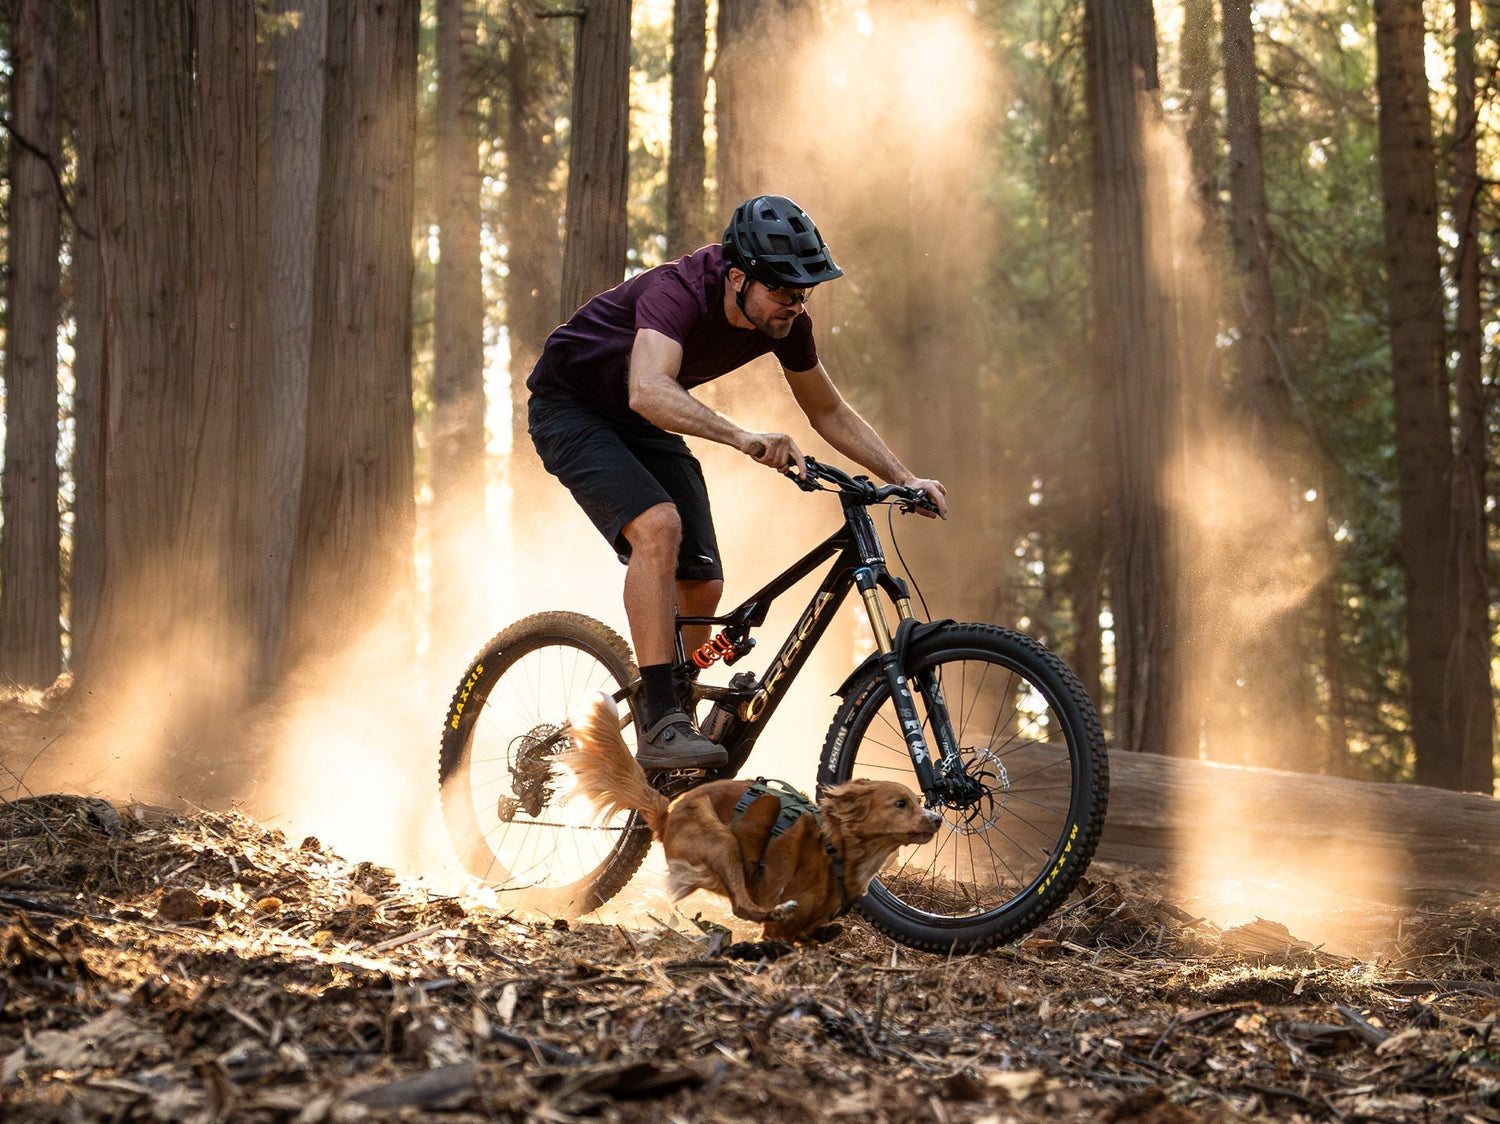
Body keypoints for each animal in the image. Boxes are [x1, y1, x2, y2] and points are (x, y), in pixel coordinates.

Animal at [561, 693, 936, 936]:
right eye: (900, 804)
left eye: (917, 801)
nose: (936, 819)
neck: (839, 847)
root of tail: (667, 815)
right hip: (722, 841)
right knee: (742, 905)